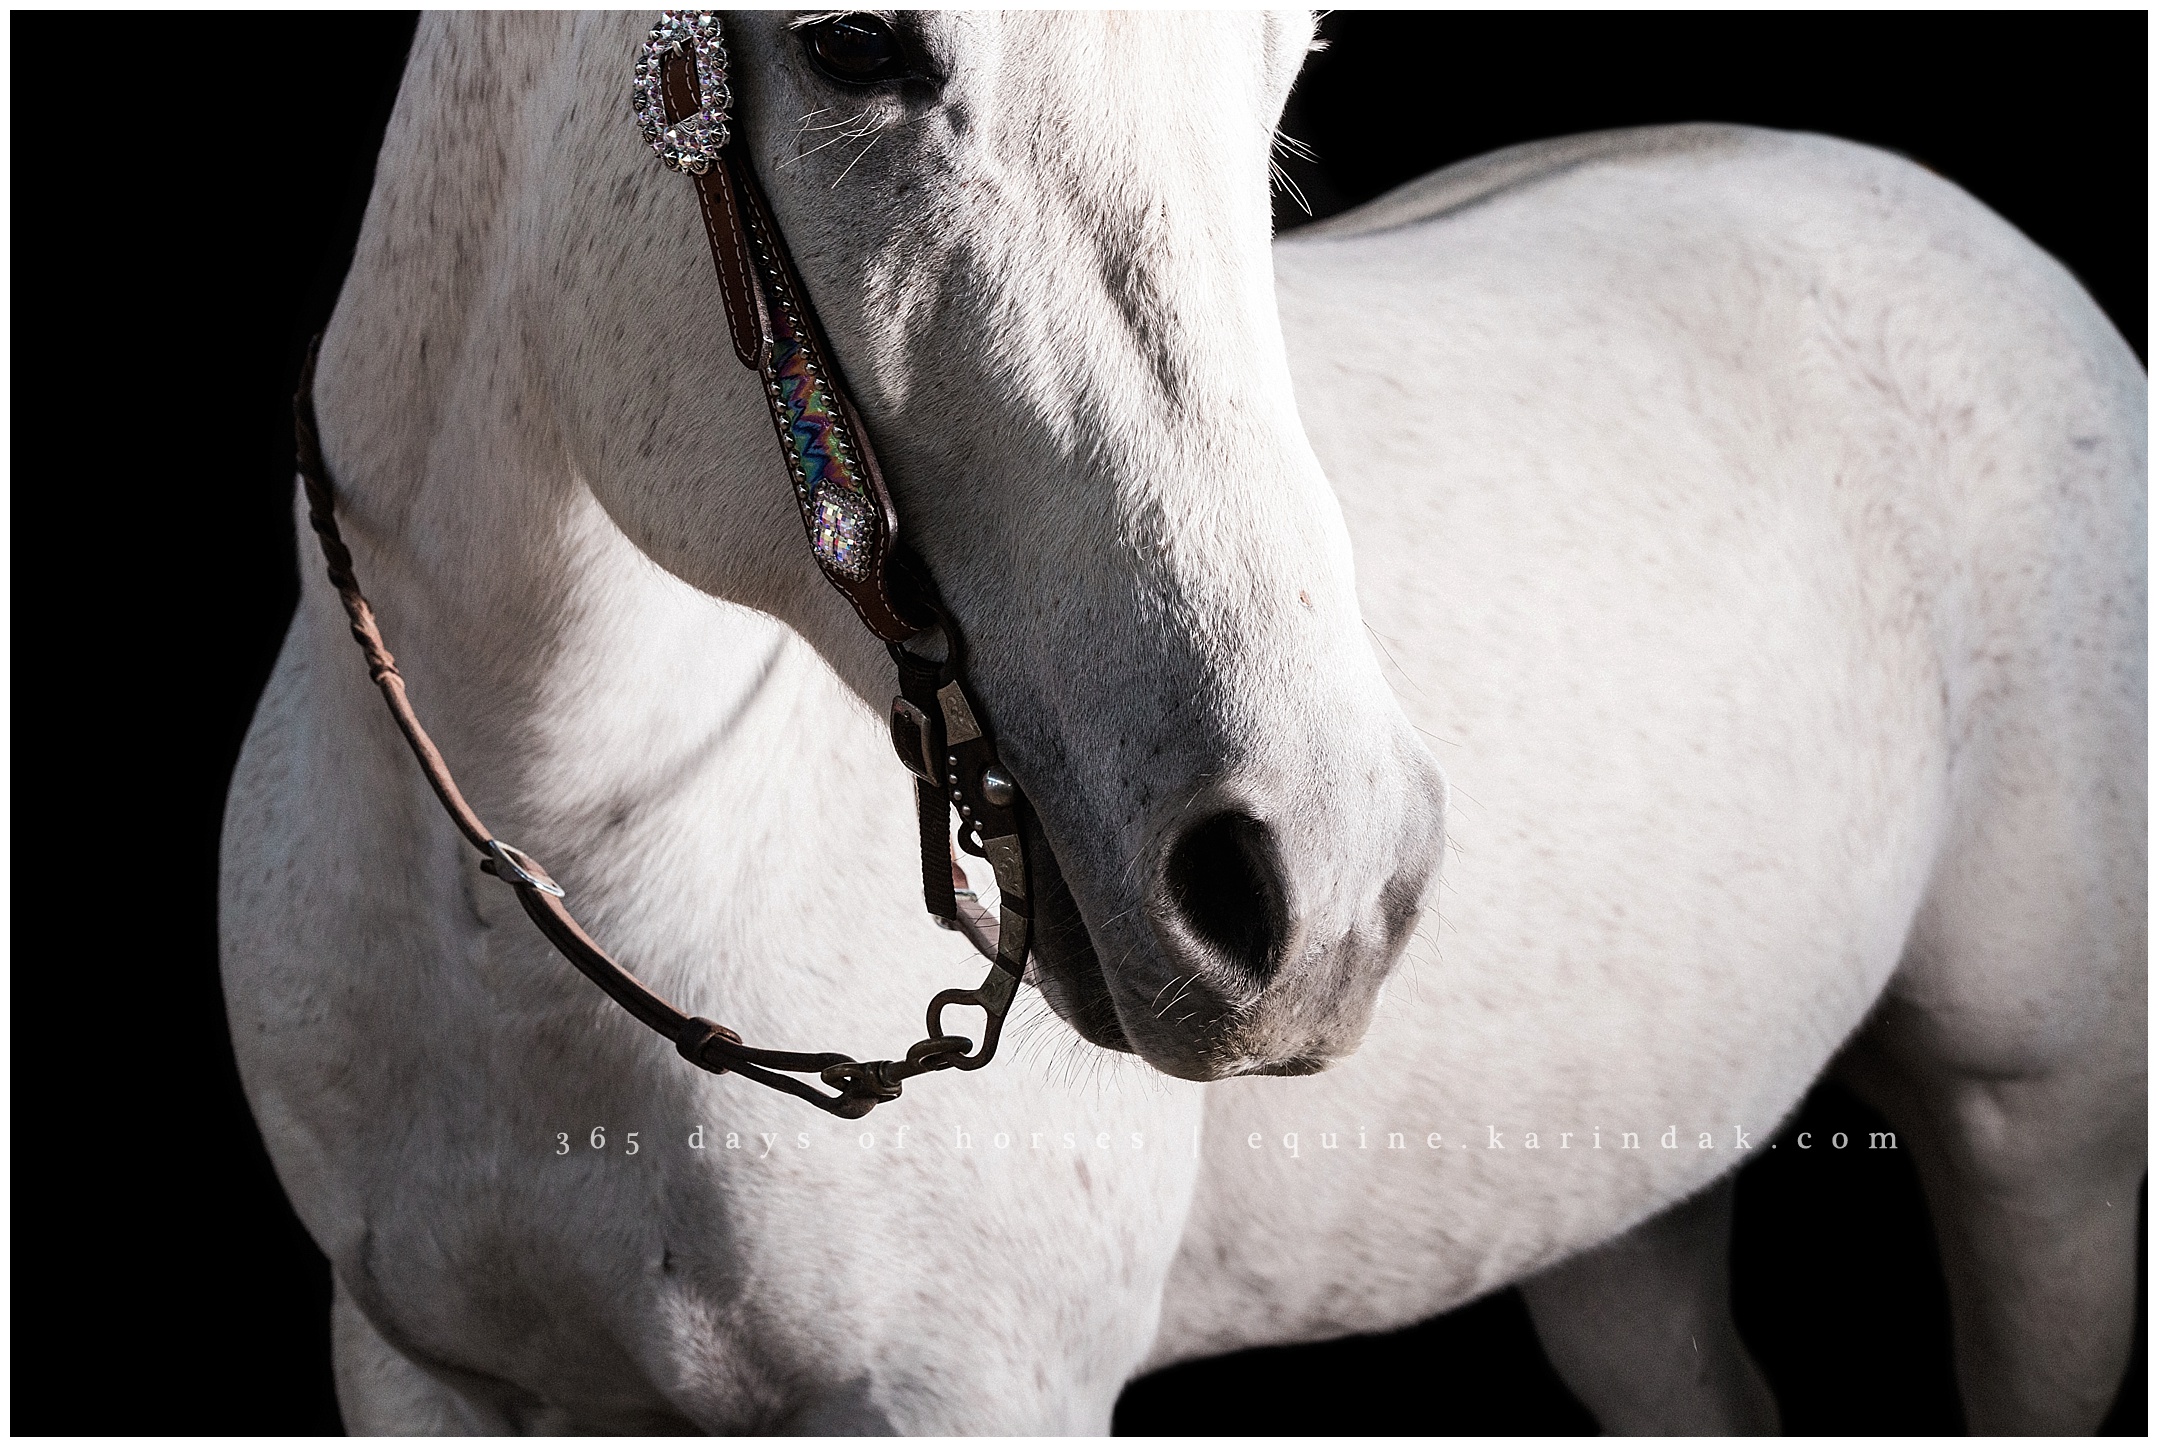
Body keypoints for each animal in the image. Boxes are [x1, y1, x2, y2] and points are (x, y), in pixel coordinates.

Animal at [220, 11, 2145, 1433]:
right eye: (852, 43)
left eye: (1284, 55)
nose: (1322, 890)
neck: (550, 858)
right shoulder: (419, 1370)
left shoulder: (967, 1391)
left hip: (2041, 1136)